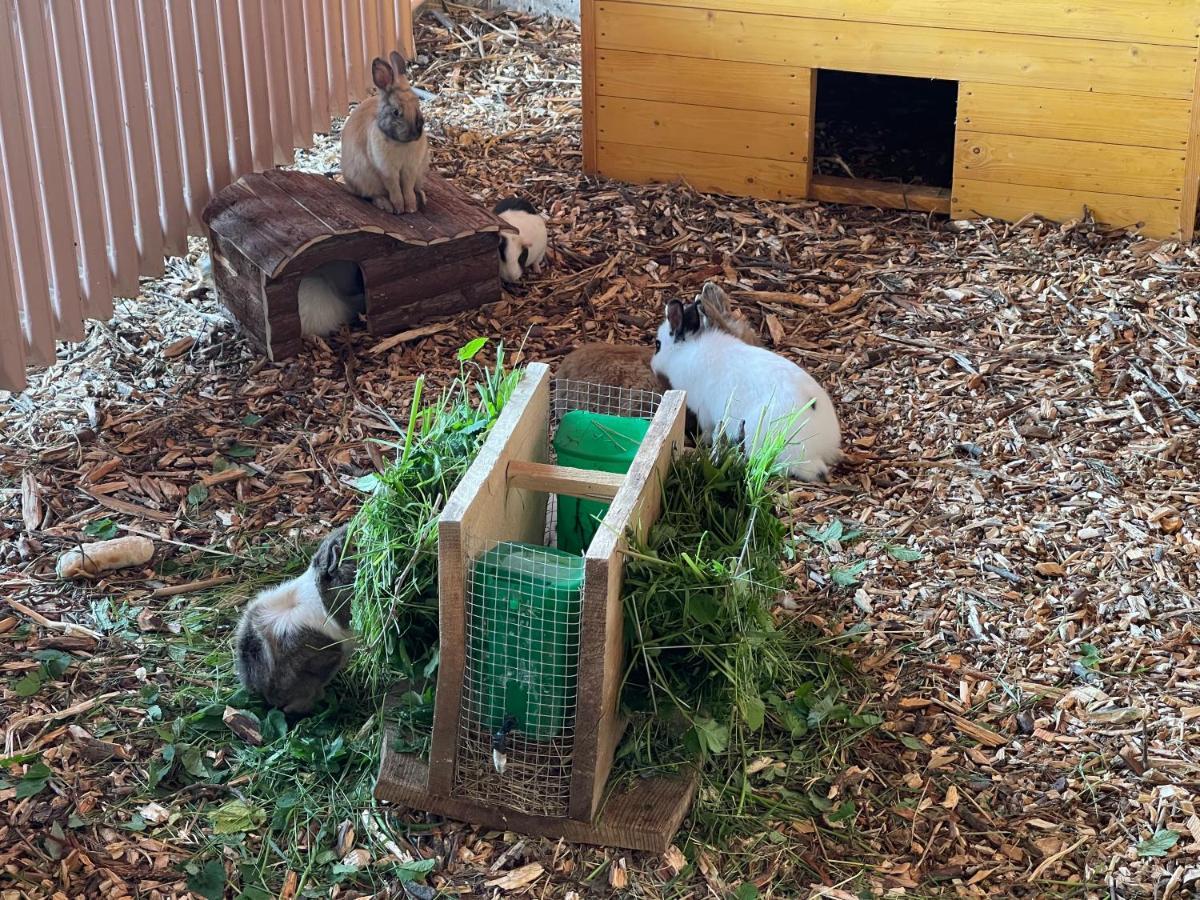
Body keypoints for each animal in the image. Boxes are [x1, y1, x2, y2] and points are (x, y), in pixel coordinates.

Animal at [340, 50, 429, 214]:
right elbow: (394, 188)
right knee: (372, 195)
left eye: (417, 105)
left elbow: (407, 188)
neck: (401, 143)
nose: (416, 133)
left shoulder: (410, 169)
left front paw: (411, 207)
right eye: (396, 112)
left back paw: (421, 195)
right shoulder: (387, 170)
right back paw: (385, 204)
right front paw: (399, 208)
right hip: (364, 180)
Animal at [652, 285, 840, 487]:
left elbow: (707, 429)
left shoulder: (704, 411)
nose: (653, 366)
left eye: (658, 345)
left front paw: (702, 441)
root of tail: (819, 448)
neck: (685, 351)